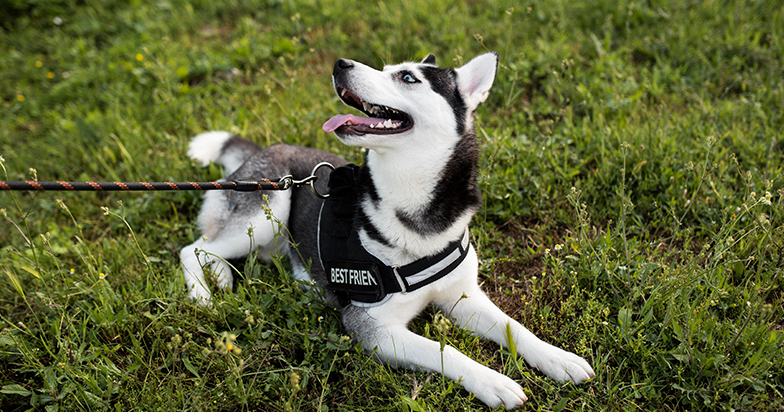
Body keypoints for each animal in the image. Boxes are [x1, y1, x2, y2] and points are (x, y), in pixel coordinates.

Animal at [179, 52, 596, 408]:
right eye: (386, 69)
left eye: (408, 77)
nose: (340, 63)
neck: (414, 209)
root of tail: (261, 151)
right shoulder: (374, 328)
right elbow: (444, 350)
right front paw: (493, 381)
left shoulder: (464, 298)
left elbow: (515, 328)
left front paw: (558, 358)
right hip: (270, 207)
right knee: (192, 248)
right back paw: (203, 294)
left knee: (213, 249)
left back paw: (223, 279)